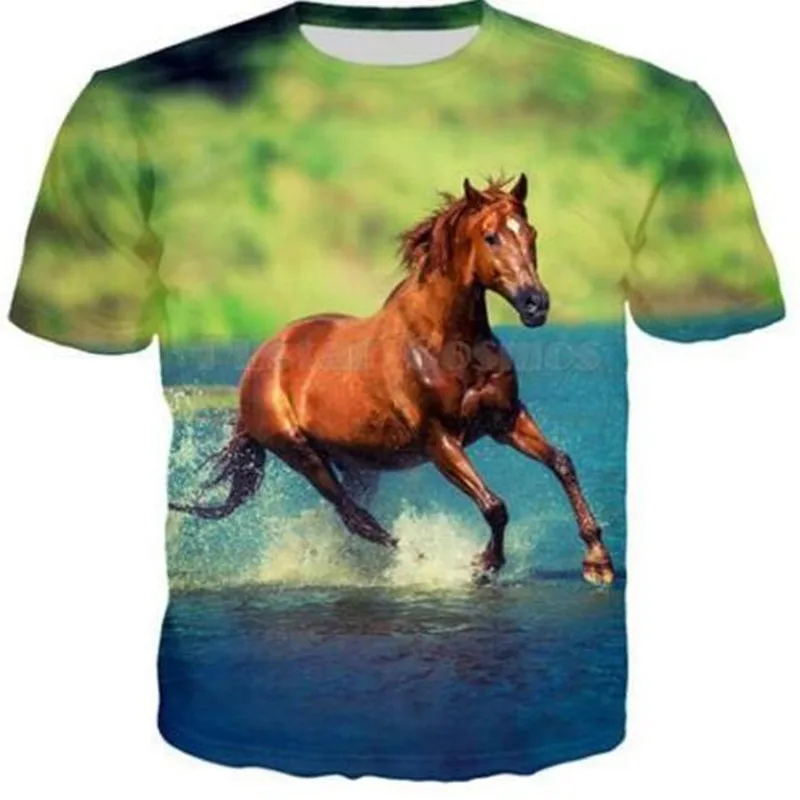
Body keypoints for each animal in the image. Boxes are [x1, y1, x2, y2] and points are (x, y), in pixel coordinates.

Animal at [170, 174, 615, 585]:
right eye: (491, 237)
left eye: (531, 233)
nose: (535, 304)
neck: (446, 342)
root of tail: (260, 362)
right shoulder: (440, 440)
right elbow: (494, 506)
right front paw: (484, 564)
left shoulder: (505, 419)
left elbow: (561, 462)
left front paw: (598, 562)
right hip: (301, 453)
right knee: (355, 517)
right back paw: (418, 560)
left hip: (358, 463)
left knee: (353, 516)